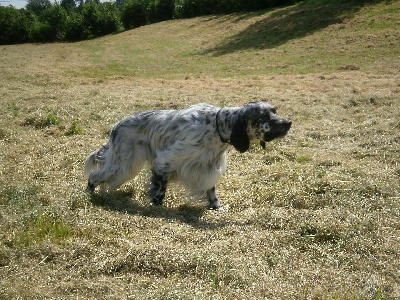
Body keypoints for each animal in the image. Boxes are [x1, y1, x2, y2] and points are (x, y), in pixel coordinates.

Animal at [84, 102, 290, 210]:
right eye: (263, 116)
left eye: (274, 111)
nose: (288, 122)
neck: (215, 128)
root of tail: (116, 125)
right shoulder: (164, 161)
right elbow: (159, 190)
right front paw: (157, 207)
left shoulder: (208, 168)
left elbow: (212, 192)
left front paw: (217, 209)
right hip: (123, 165)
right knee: (94, 176)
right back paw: (88, 196)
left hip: (124, 168)